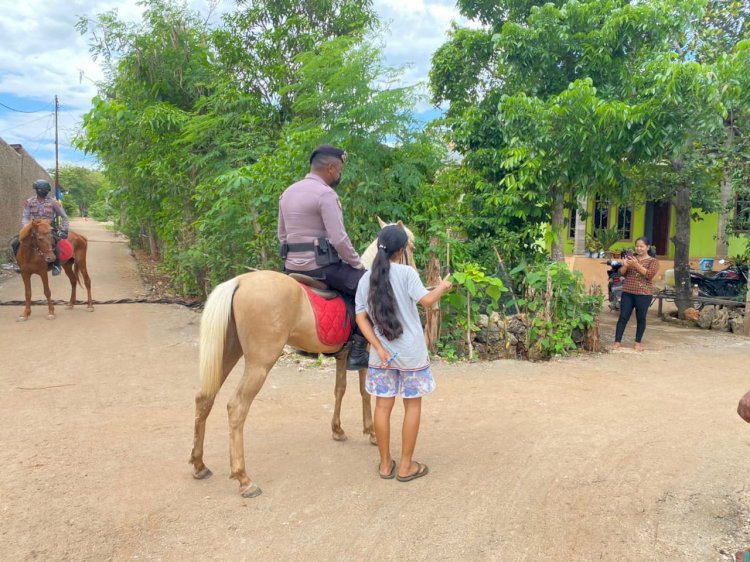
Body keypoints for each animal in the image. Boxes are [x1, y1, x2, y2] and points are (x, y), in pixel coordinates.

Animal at [191, 219, 418, 494]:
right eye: (411, 246)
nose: (413, 270)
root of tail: (240, 282)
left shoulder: (343, 356)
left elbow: (340, 389)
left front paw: (338, 430)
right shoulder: (368, 354)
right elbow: (365, 393)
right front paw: (372, 432)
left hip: (227, 354)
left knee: (204, 399)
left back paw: (199, 464)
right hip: (260, 363)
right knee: (236, 408)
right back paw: (244, 478)